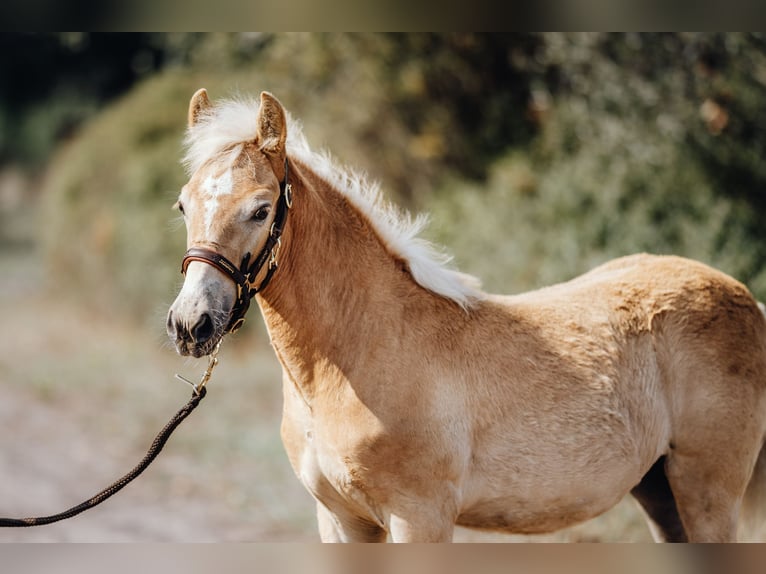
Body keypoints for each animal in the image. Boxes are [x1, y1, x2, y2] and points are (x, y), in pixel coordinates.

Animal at [166, 88, 766, 544]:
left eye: (261, 209)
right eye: (183, 203)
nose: (191, 325)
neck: (356, 355)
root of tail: (744, 297)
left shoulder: (420, 518)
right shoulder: (340, 520)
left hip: (708, 491)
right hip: (660, 491)